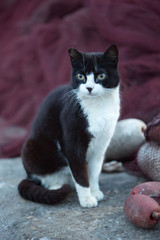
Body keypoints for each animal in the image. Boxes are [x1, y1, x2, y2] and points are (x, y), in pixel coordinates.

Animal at [18, 45, 120, 208]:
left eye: (101, 76)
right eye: (80, 76)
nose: (89, 88)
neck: (98, 106)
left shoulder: (101, 146)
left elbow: (94, 172)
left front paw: (95, 191)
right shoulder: (73, 144)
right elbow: (80, 173)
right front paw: (87, 199)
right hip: (30, 148)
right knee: (45, 179)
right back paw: (56, 186)